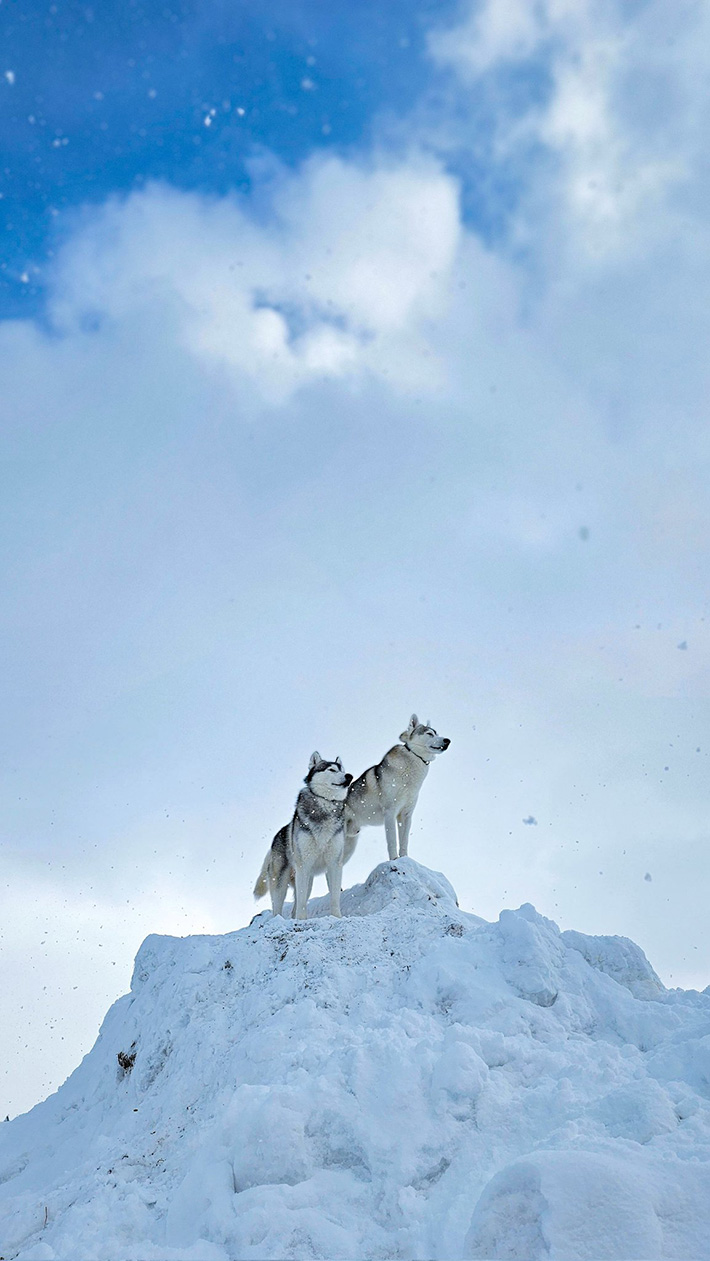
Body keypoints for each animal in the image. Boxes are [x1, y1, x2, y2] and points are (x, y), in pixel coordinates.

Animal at [256, 751, 355, 923]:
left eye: (343, 770)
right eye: (331, 770)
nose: (349, 776)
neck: (325, 805)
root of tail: (275, 838)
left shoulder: (335, 864)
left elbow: (335, 896)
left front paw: (337, 917)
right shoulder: (304, 865)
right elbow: (302, 902)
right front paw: (302, 921)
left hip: (308, 880)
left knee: (294, 906)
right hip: (281, 883)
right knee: (278, 908)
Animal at [345, 721, 448, 867]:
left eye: (437, 733)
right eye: (429, 733)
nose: (447, 740)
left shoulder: (405, 814)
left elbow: (404, 842)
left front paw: (404, 859)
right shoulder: (390, 812)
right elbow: (392, 841)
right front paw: (393, 860)